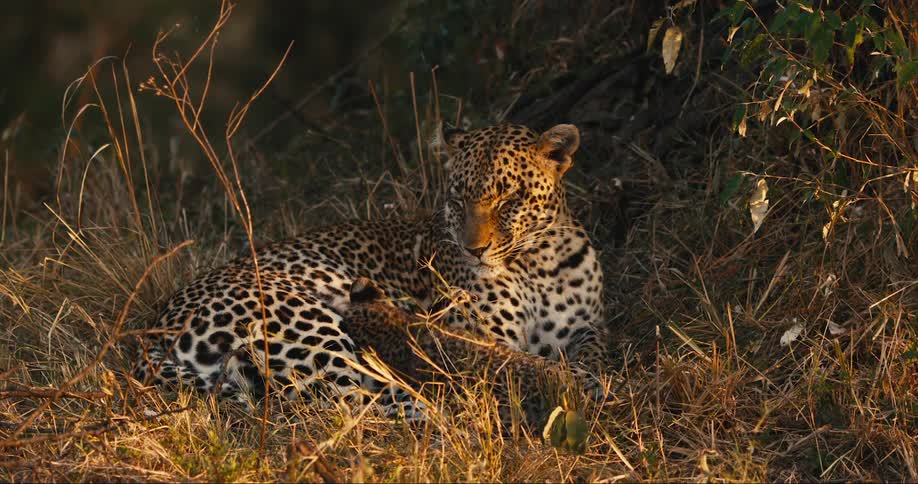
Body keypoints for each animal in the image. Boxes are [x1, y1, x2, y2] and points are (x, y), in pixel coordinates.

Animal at [133, 123, 607, 411]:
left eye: (509, 199)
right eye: (457, 199)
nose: (474, 250)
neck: (539, 262)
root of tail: (153, 332)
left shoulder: (587, 328)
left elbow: (594, 351)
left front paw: (586, 376)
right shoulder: (479, 333)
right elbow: (507, 360)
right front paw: (575, 382)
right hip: (309, 327)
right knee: (365, 406)